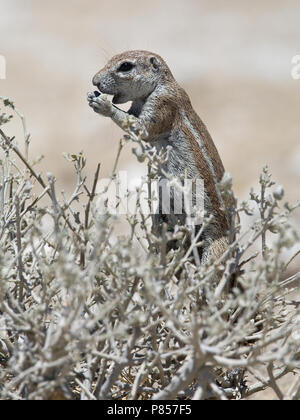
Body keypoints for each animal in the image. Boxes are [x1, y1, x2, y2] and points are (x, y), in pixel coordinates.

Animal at [88, 50, 229, 262]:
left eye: (125, 66)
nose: (94, 81)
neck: (163, 83)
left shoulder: (163, 103)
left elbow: (142, 128)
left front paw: (104, 105)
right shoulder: (137, 107)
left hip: (216, 247)